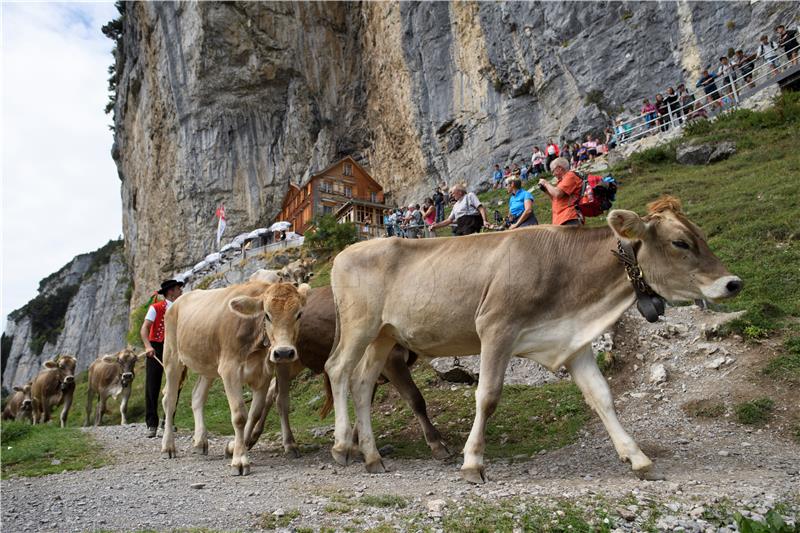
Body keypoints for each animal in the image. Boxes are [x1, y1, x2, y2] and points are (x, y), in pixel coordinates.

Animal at [160, 278, 310, 474]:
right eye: (267, 315)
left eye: (299, 314)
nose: (284, 352)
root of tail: (177, 301)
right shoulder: (229, 370)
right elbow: (239, 416)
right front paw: (239, 460)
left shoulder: (264, 375)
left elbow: (254, 413)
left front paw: (236, 448)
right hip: (172, 357)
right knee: (169, 400)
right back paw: (168, 446)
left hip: (208, 365)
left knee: (197, 396)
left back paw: (200, 442)